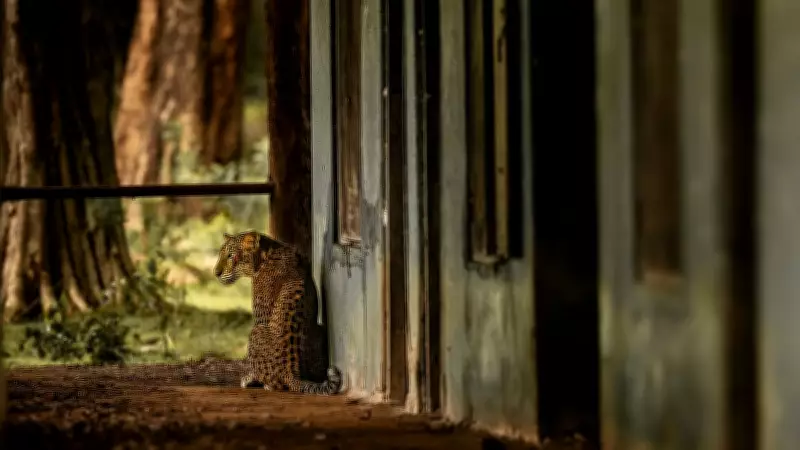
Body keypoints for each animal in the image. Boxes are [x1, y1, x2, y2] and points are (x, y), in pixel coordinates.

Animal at [213, 230, 342, 395]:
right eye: (221, 254)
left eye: (230, 255)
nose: (216, 273)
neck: (268, 252)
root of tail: (291, 374)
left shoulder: (262, 319)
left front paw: (249, 378)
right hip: (319, 330)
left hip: (256, 330)